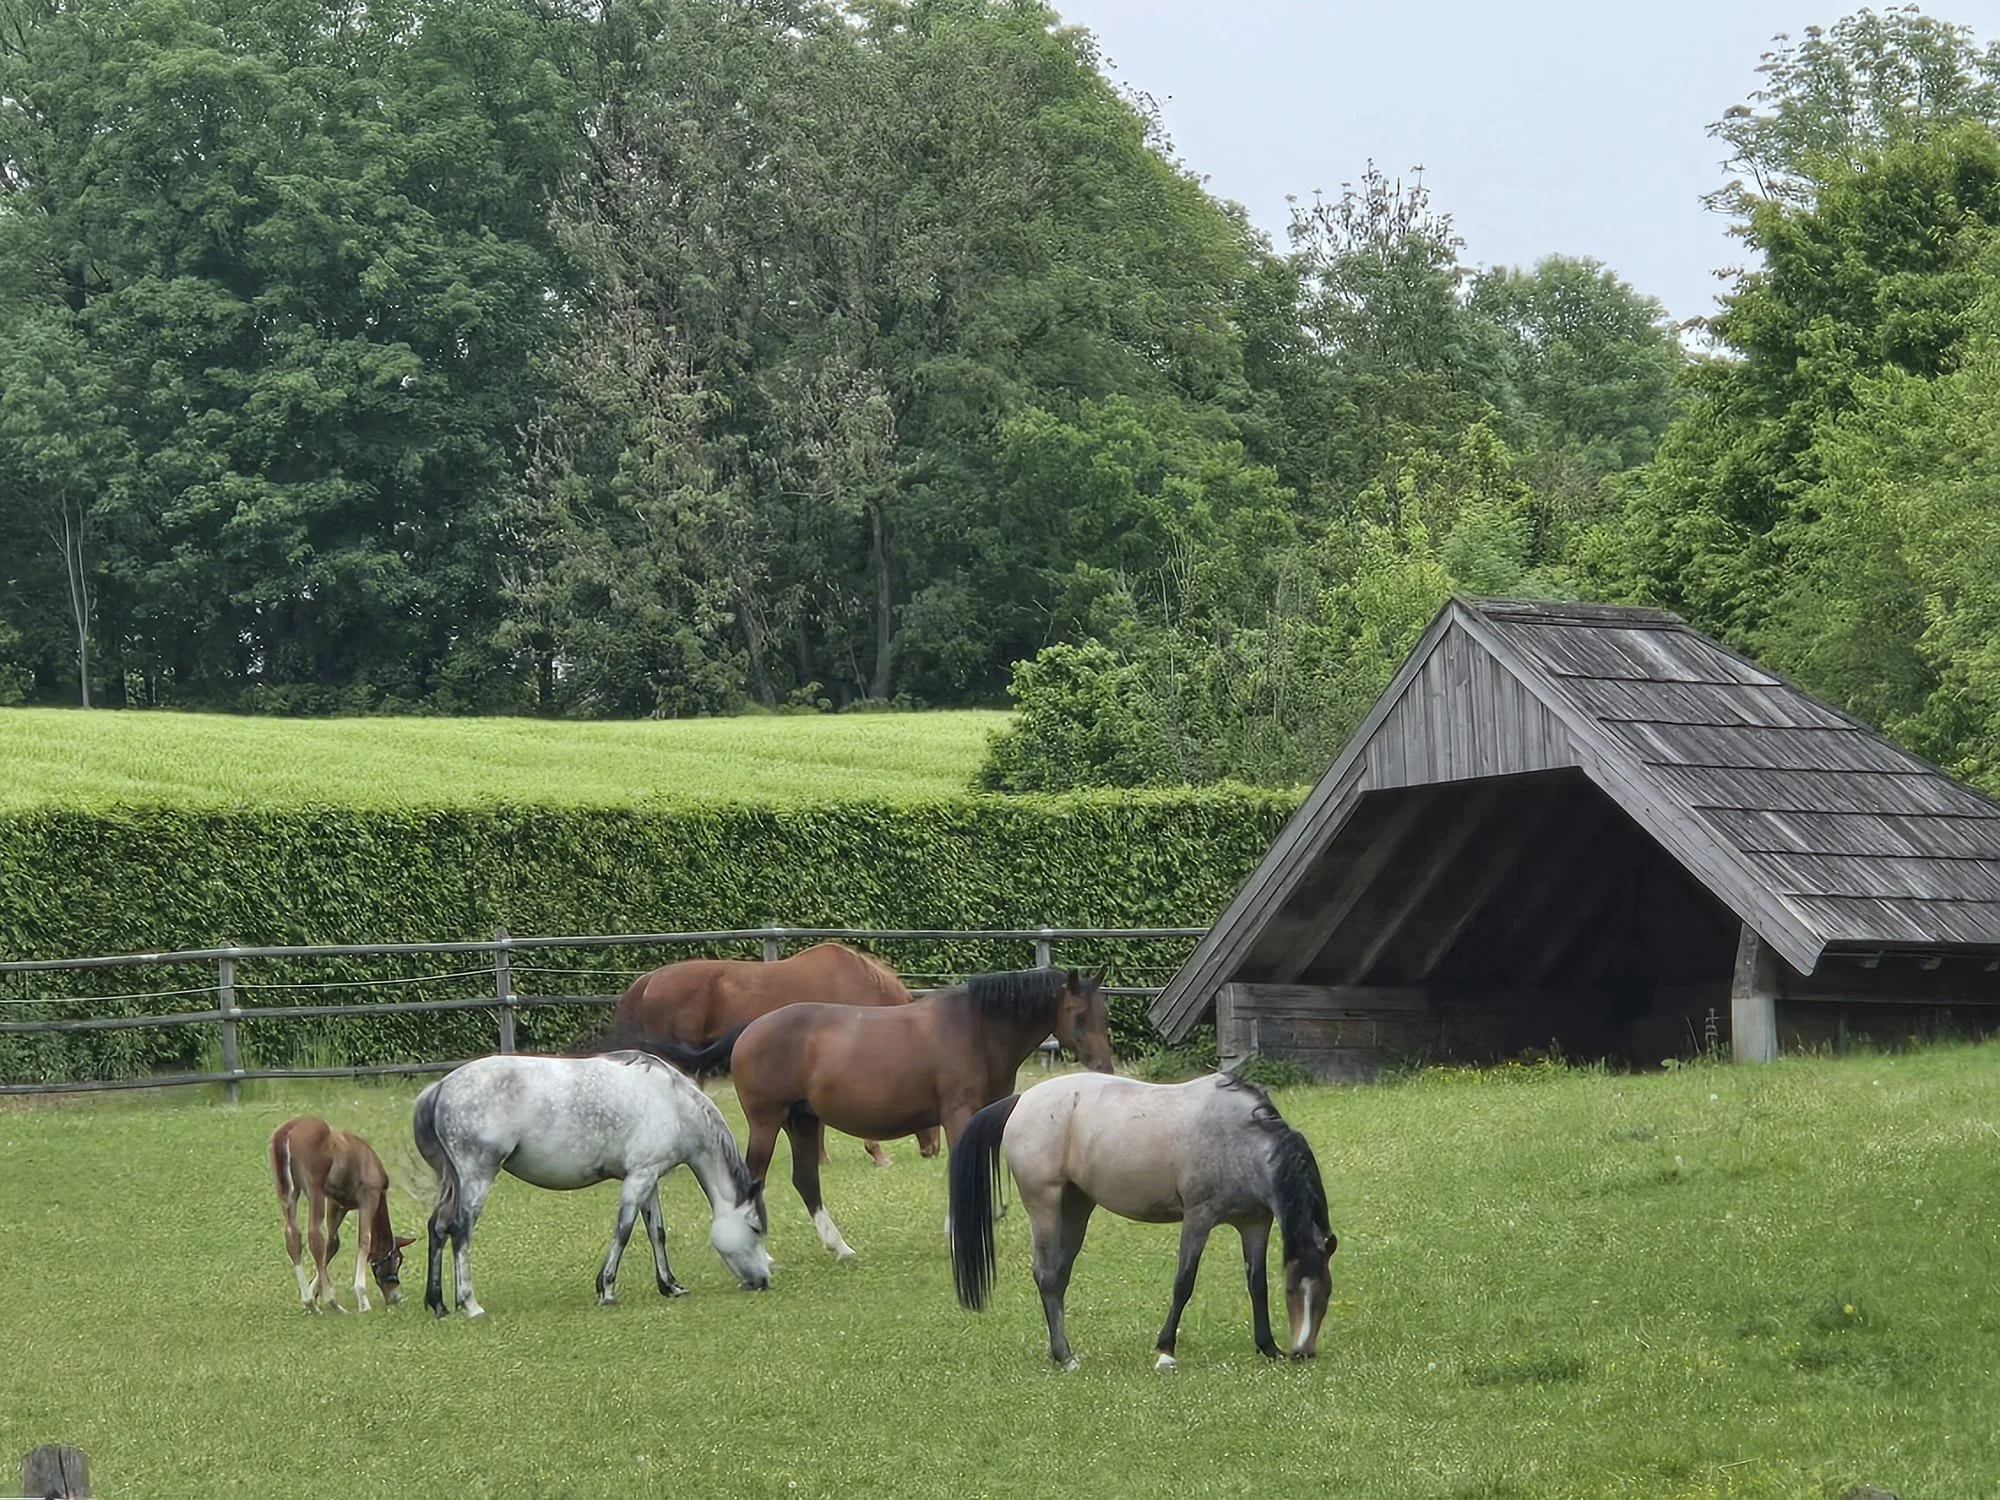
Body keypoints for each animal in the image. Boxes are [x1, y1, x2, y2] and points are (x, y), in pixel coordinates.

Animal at [268, 1116, 416, 1313]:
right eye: (397, 1260)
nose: (395, 1297)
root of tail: (288, 1131)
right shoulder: (369, 1197)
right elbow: (364, 1240)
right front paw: (362, 1299)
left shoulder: (337, 1204)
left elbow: (333, 1243)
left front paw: (314, 1291)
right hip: (314, 1190)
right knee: (315, 1236)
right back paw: (333, 1303)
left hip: (287, 1193)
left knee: (293, 1238)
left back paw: (310, 1301)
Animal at [411, 1050, 773, 1318]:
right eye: (755, 1228)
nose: (763, 1281)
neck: (672, 1101)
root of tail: (441, 1087)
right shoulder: (639, 1179)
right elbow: (623, 1231)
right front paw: (607, 1288)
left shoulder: (649, 1177)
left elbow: (657, 1232)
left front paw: (671, 1286)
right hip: (477, 1178)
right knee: (460, 1230)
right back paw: (469, 1303)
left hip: (453, 1180)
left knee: (438, 1227)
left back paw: (438, 1304)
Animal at [650, 966, 1114, 1262]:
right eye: (1077, 1015)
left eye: (1104, 1015)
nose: (1104, 1067)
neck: (975, 1028)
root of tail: (750, 1029)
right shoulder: (958, 1114)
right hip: (767, 1121)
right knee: (755, 1178)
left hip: (803, 1121)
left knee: (806, 1180)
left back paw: (839, 1247)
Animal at [948, 1071, 1337, 1370]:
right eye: (1293, 1292)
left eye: (1325, 1292)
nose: (1302, 1352)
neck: (1242, 1139)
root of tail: (1021, 1099)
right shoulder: (1198, 1218)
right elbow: (1184, 1283)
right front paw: (1166, 1351)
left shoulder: (1255, 1223)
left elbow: (1256, 1284)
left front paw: (1267, 1347)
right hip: (1044, 1206)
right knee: (1045, 1275)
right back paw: (1066, 1356)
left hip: (1076, 1208)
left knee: (1058, 1277)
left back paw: (1057, 1351)